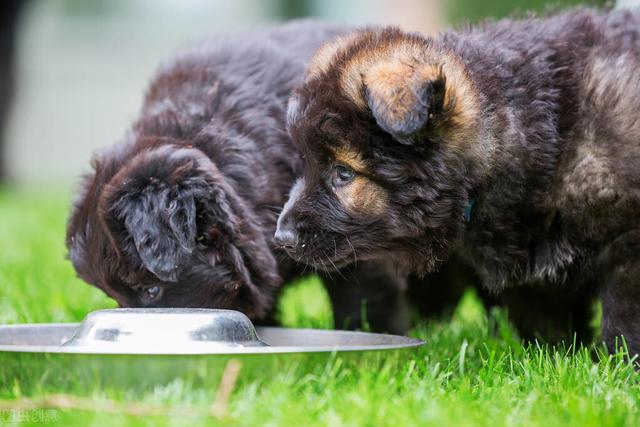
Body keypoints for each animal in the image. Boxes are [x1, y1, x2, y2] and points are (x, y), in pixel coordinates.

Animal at [278, 8, 640, 352]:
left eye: (344, 173)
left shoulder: (627, 248)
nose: (282, 239)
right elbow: (548, 332)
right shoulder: (531, 271)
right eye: (304, 164)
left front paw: (617, 364)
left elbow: (623, 327)